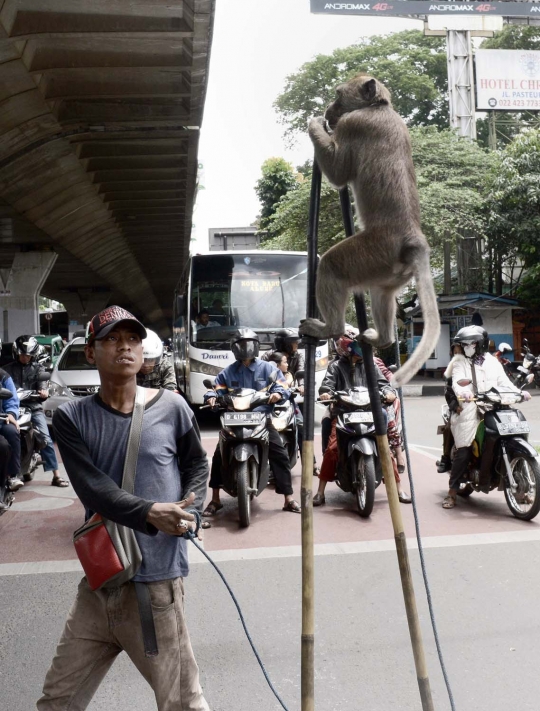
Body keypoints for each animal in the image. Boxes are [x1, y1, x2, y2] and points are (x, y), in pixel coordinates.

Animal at [302, 72, 440, 390]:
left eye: (338, 95)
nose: (329, 109)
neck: (380, 107)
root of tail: (413, 238)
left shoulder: (354, 125)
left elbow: (339, 173)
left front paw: (316, 124)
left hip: (373, 250)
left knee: (331, 265)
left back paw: (329, 328)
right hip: (387, 266)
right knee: (382, 292)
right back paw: (384, 338)